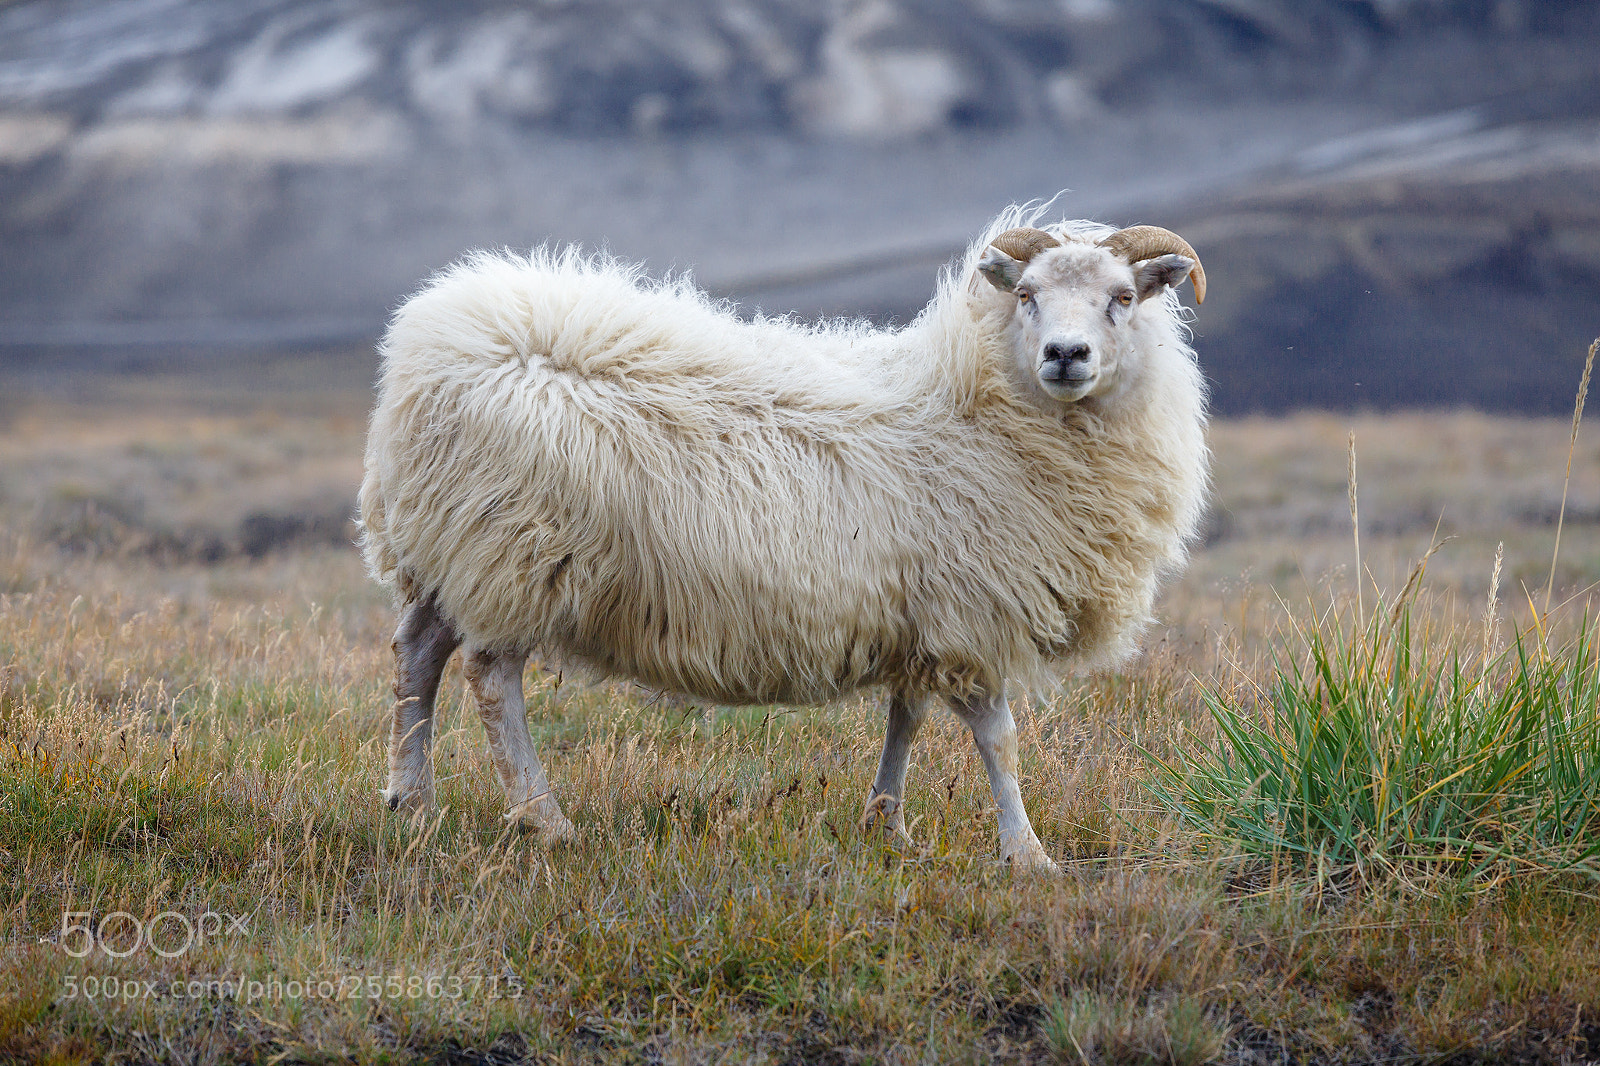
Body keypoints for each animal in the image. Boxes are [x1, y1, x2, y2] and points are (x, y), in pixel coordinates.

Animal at [357, 207, 1210, 870]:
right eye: (1028, 296)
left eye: (1122, 298)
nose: (1066, 355)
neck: (983, 406)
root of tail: (428, 345)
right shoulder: (976, 610)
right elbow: (997, 741)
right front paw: (1027, 855)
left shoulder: (920, 611)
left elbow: (906, 715)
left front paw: (886, 824)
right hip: (515, 552)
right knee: (490, 678)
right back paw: (544, 819)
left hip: (447, 545)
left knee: (418, 653)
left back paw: (411, 802)